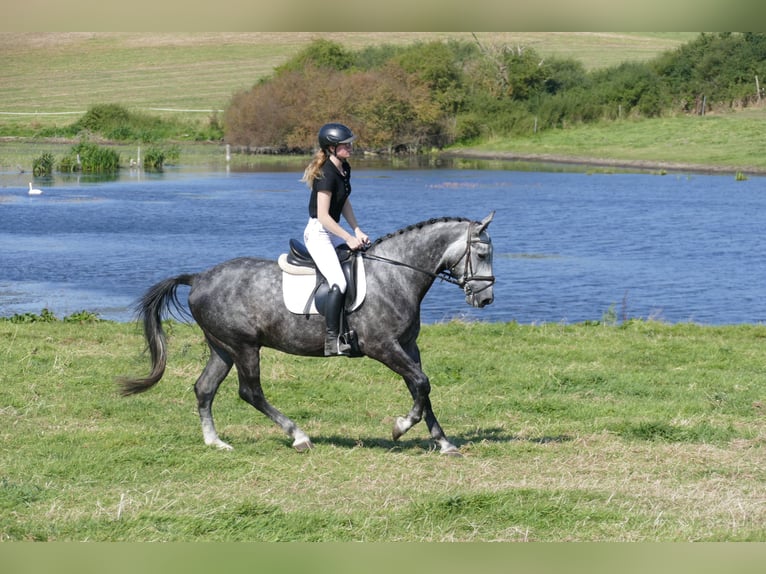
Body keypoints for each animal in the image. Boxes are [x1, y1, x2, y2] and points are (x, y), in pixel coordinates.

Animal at [117, 214, 496, 456]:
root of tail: (199, 278)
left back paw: (217, 443)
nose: (486, 299)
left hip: (222, 347)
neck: (395, 274)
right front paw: (400, 427)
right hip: (244, 346)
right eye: (481, 253)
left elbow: (421, 387)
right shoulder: (383, 346)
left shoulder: (407, 347)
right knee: (250, 392)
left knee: (204, 388)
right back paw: (298, 436)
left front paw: (444, 443)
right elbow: (420, 383)